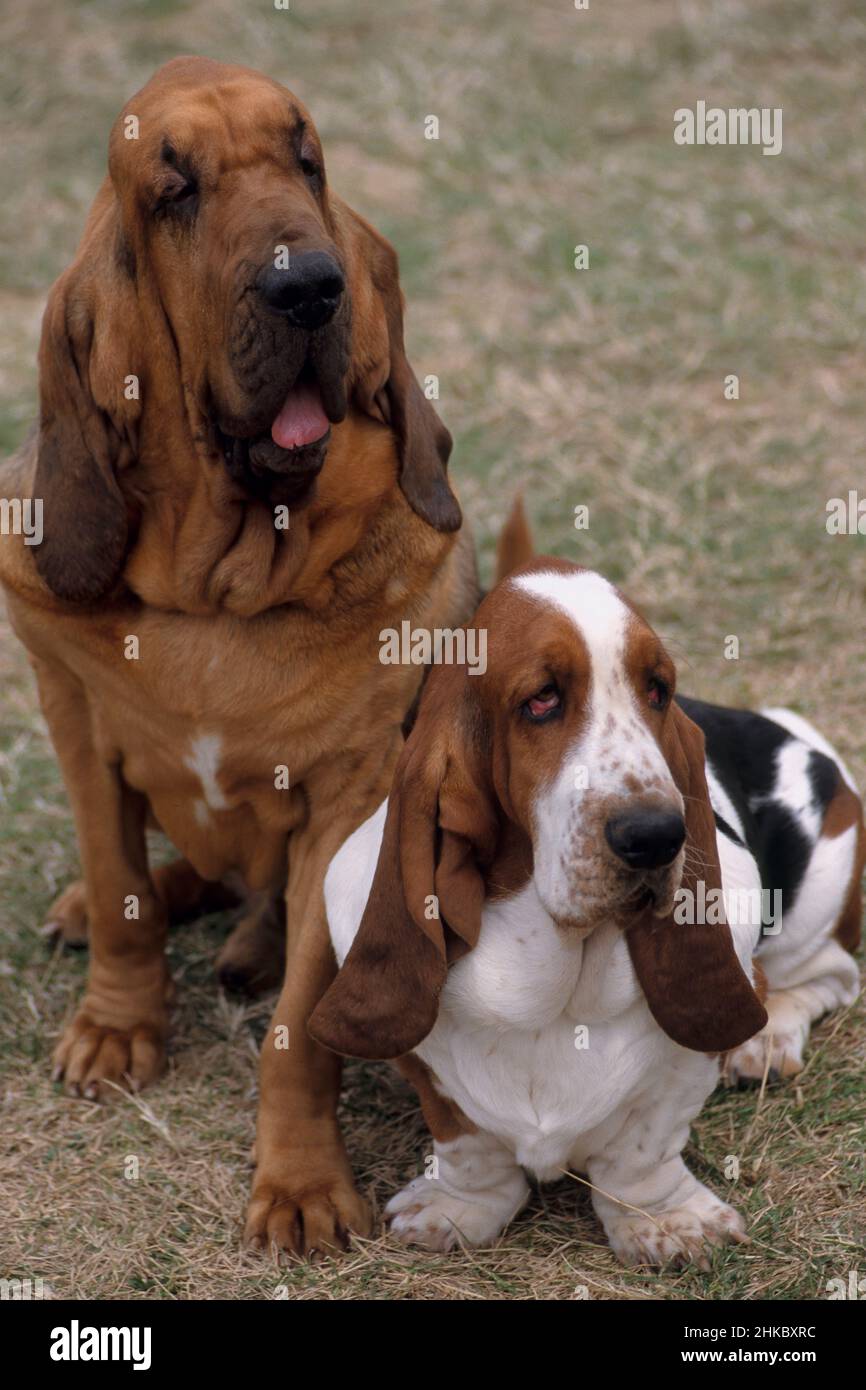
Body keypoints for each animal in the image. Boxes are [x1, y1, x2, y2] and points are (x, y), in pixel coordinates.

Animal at [0, 54, 475, 1256]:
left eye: (307, 160)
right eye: (175, 190)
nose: (308, 288)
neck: (218, 597)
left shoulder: (347, 800)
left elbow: (300, 1025)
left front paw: (300, 1186)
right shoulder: (74, 719)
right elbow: (120, 883)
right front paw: (117, 1029)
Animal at [309, 525, 861, 1267]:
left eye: (658, 690)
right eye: (542, 699)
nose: (656, 836)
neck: (559, 975)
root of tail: (795, 738)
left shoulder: (679, 1073)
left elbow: (642, 1148)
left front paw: (668, 1220)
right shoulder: (428, 1069)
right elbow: (468, 1142)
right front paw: (459, 1208)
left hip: (816, 900)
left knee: (828, 974)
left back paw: (767, 1041)